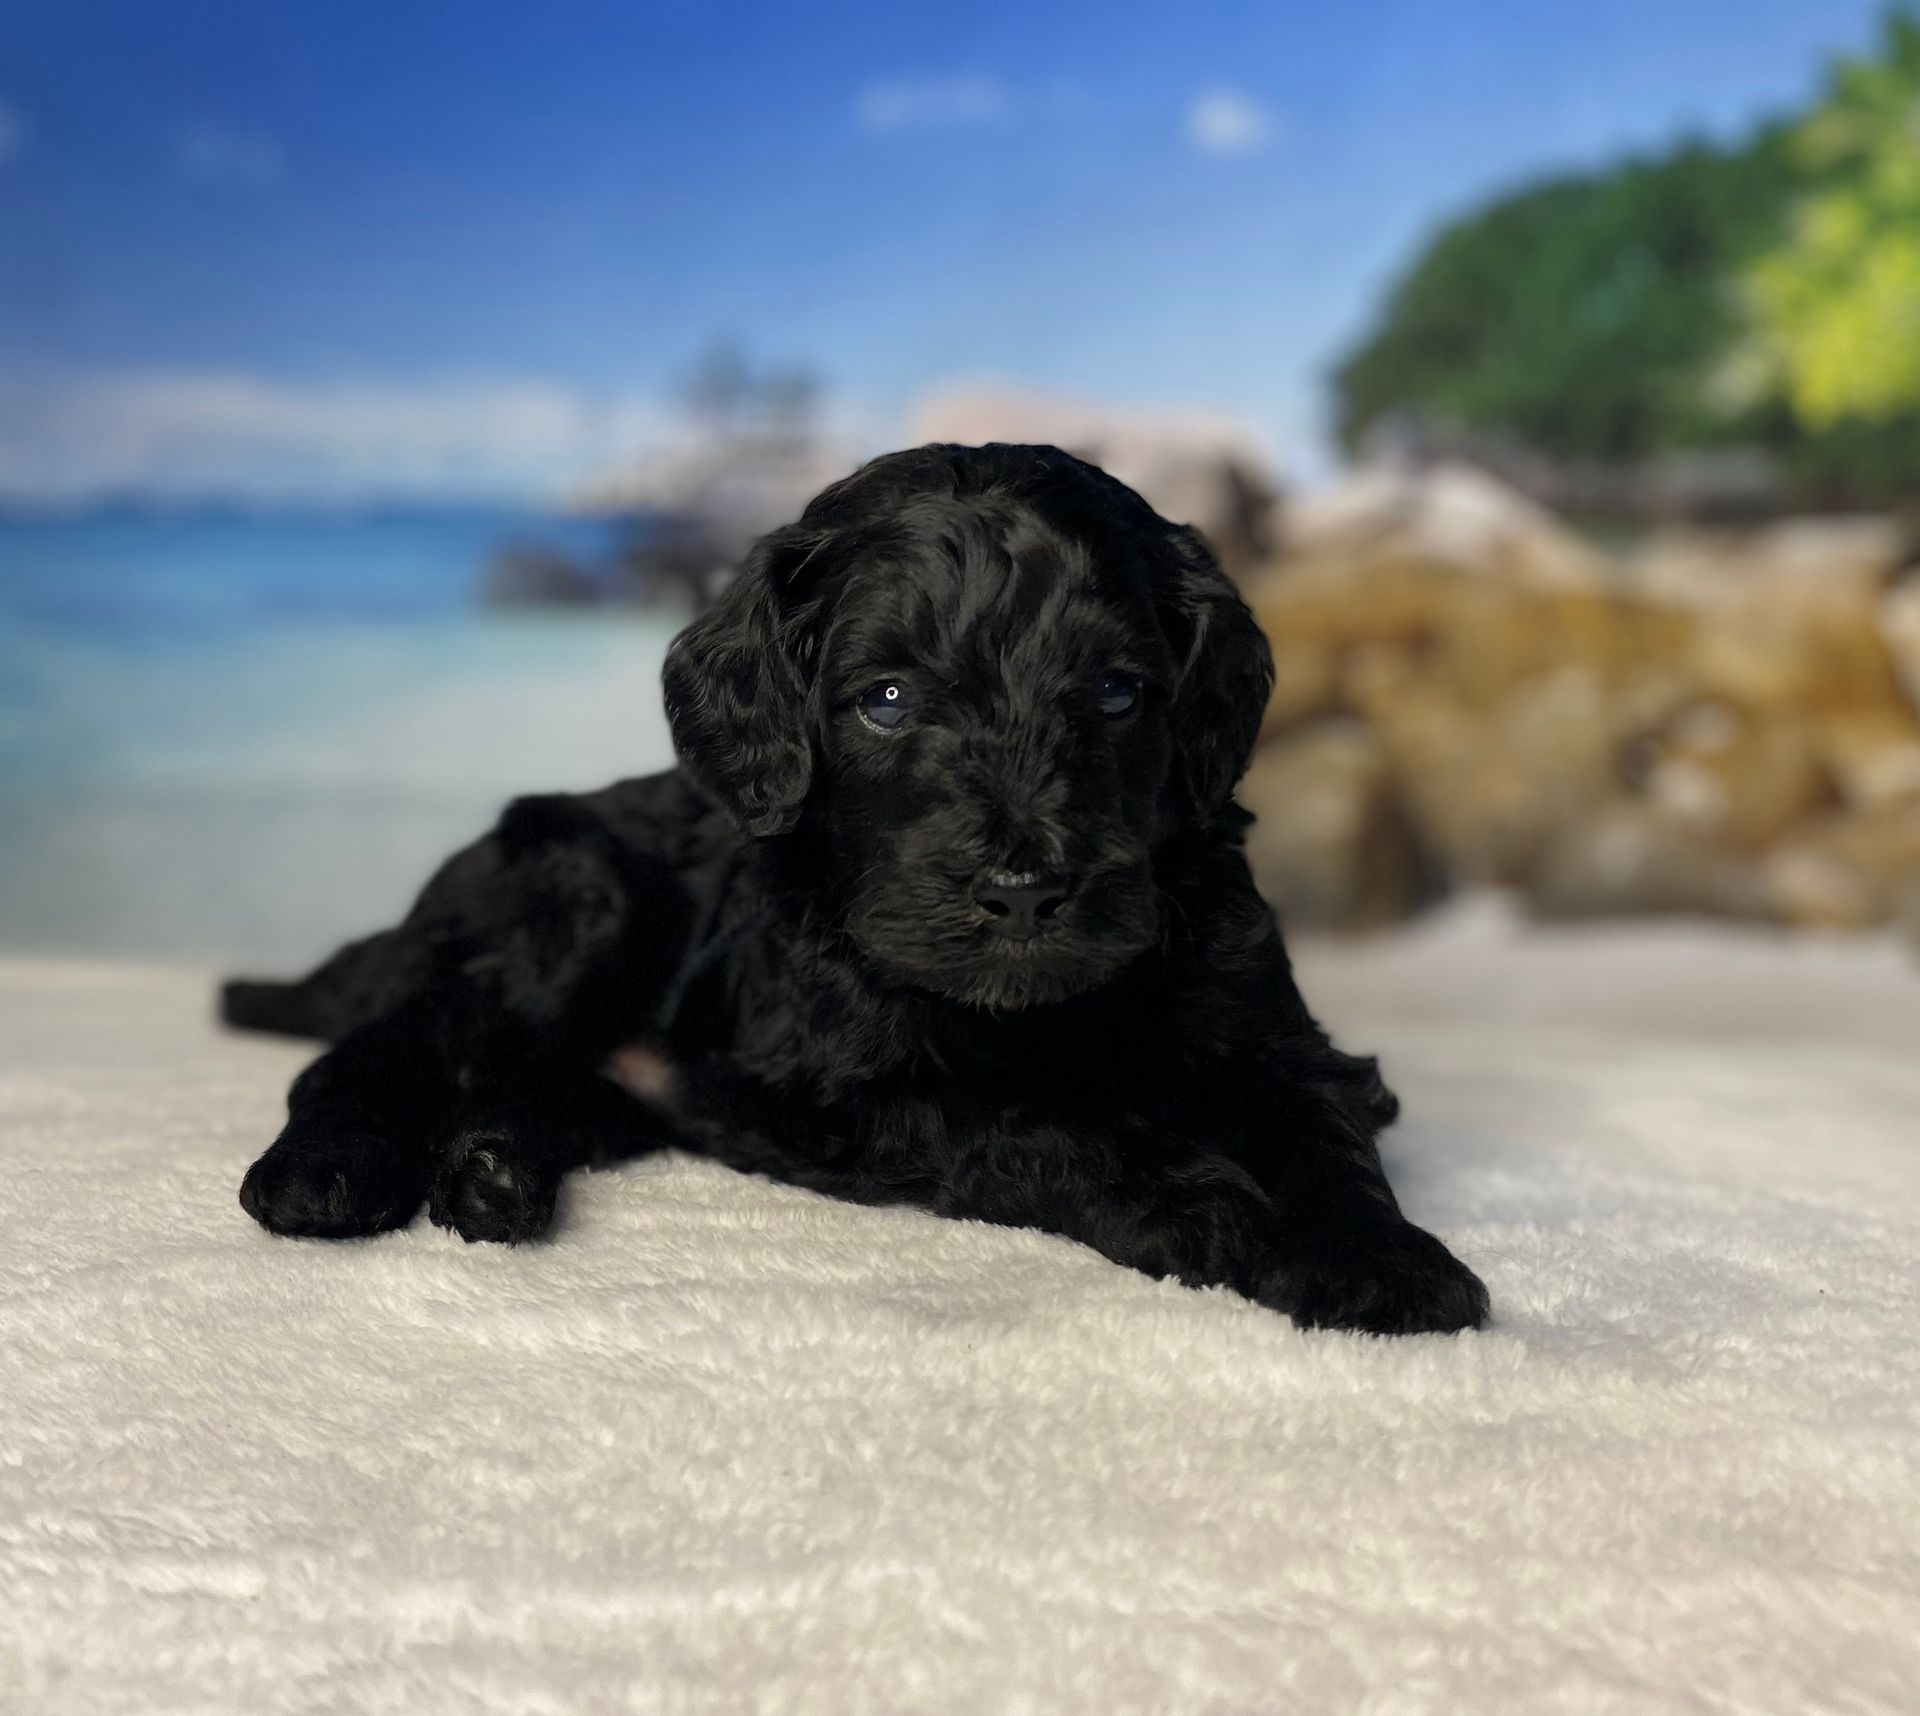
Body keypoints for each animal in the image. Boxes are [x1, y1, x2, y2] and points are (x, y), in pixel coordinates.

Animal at [224, 447, 1482, 1343]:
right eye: (886, 699)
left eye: (1121, 693)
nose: (1023, 893)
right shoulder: (854, 1085)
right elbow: (1043, 1126)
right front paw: (1203, 1201)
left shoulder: (1269, 1022)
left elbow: (1322, 1129)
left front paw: (1382, 1261)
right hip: (570, 902)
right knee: (385, 1046)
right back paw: (326, 1173)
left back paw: (494, 1176)